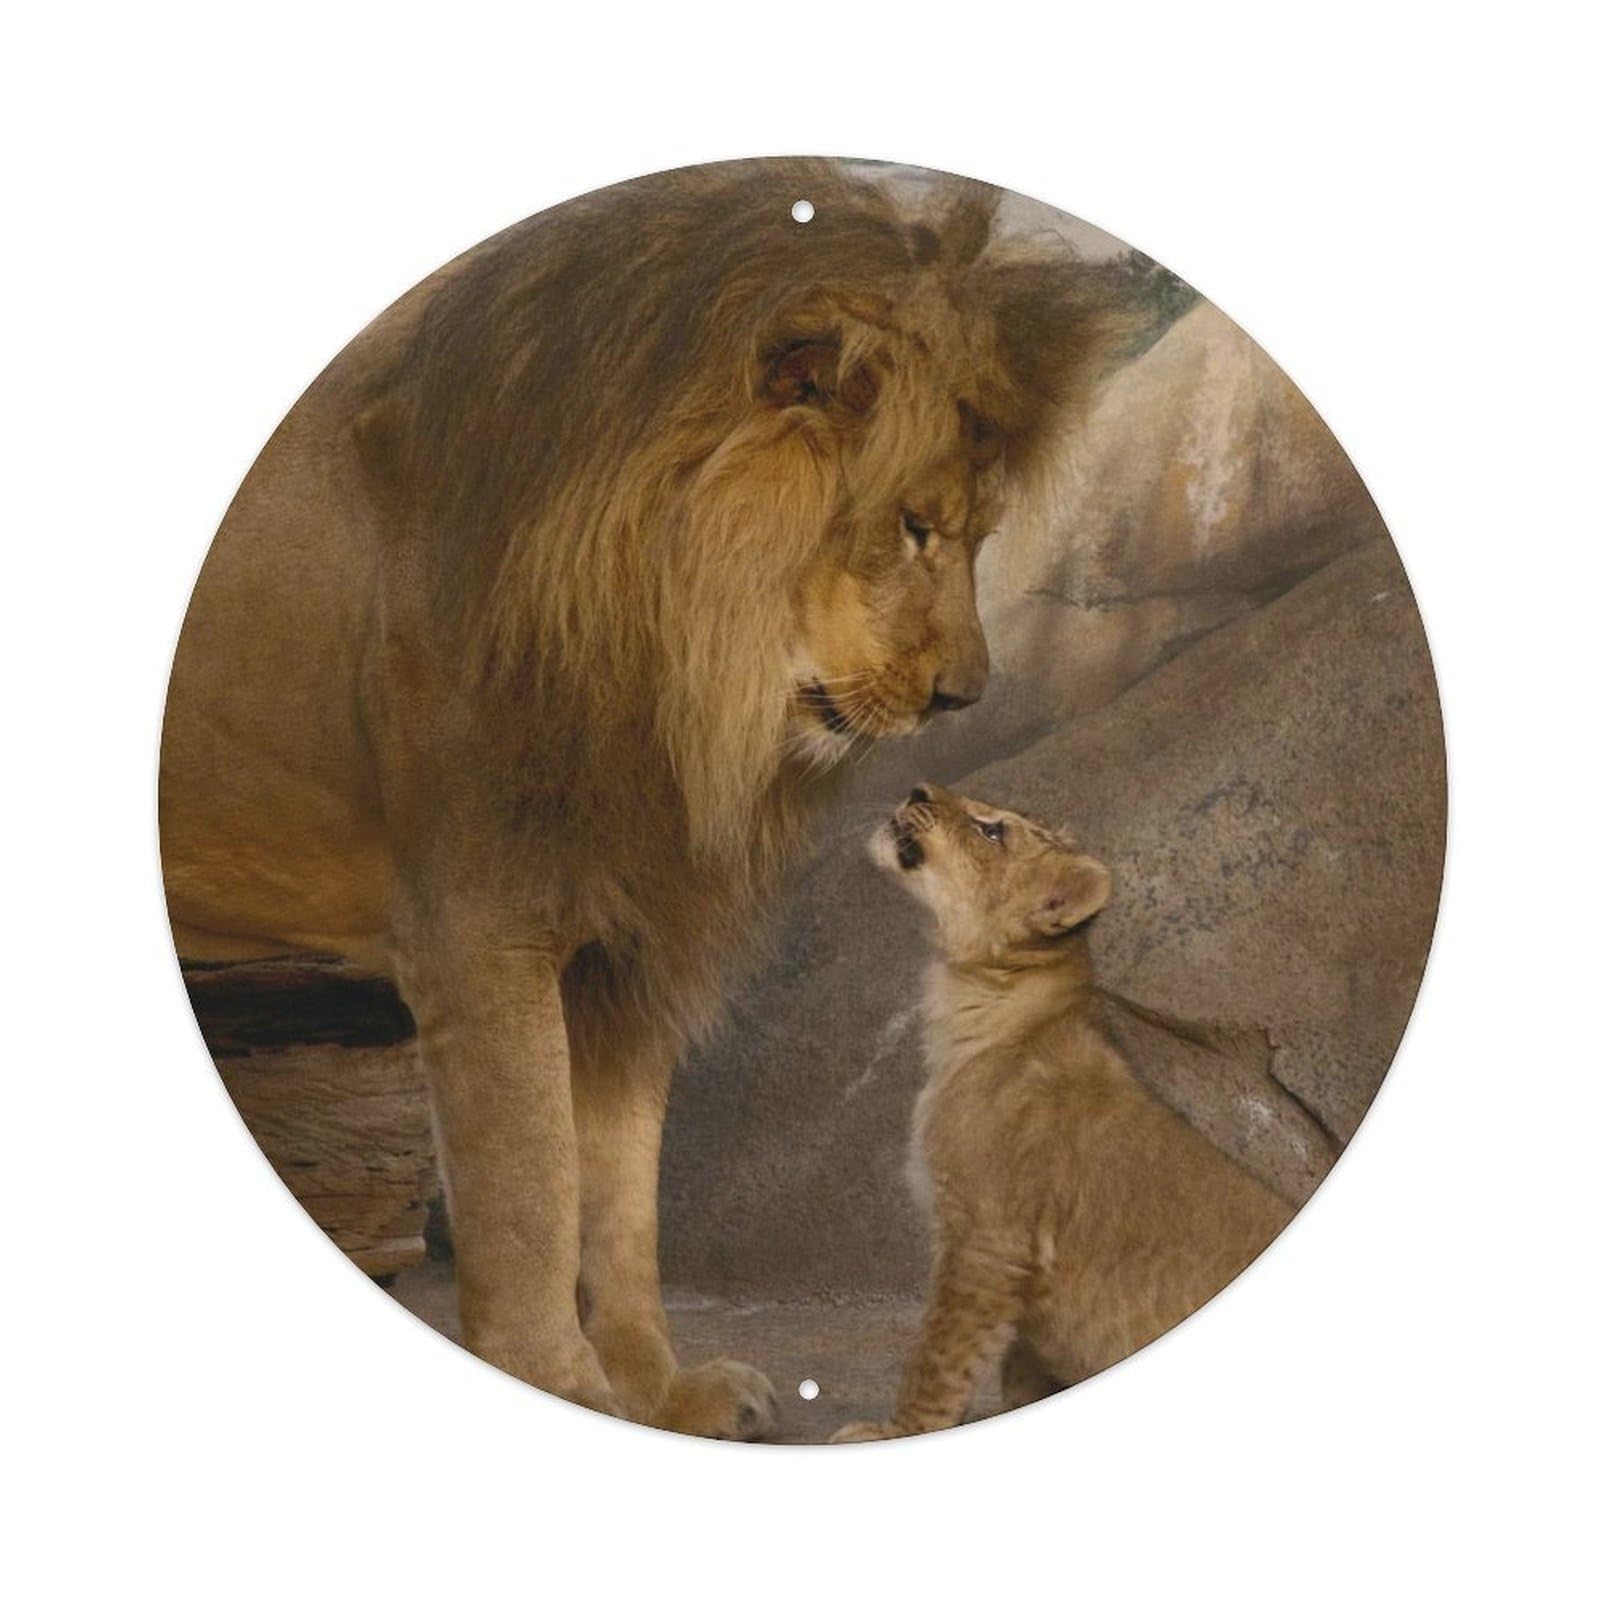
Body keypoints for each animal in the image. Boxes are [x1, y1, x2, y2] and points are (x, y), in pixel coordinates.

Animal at [159, 158, 1130, 1437]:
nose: (964, 697)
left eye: (974, 536)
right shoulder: (480, 930)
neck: (669, 663)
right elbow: (530, 1187)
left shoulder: (625, 945)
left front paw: (657, 1389)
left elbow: (619, 1191)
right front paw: (560, 1383)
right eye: (915, 525)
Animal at [831, 785, 1292, 1442]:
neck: (976, 1004)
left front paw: (894, 1433)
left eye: (992, 831)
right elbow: (1018, 1367)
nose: (918, 789)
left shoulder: (987, 1238)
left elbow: (938, 1356)